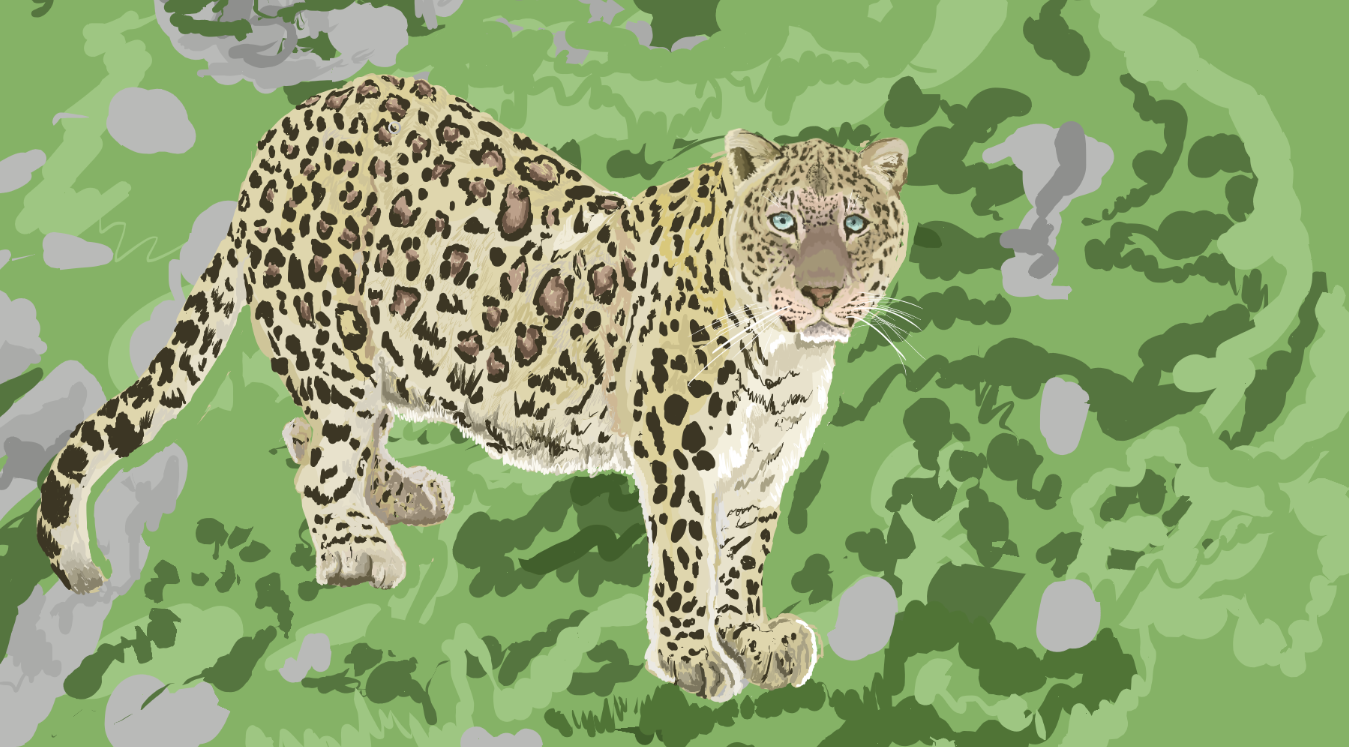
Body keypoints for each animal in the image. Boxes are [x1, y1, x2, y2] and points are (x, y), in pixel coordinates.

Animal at [36, 74, 911, 702]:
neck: (787, 352)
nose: (823, 291)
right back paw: (355, 546)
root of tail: (283, 130)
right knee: (317, 453)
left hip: (380, 351)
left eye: (855, 224)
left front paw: (753, 636)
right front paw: (693, 656)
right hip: (332, 339)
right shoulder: (677, 455)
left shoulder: (761, 467)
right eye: (784, 223)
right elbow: (687, 558)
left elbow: (743, 557)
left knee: (312, 432)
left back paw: (397, 495)